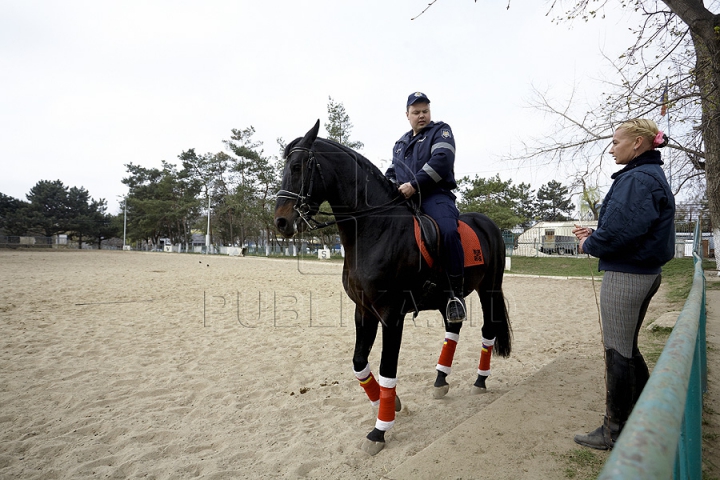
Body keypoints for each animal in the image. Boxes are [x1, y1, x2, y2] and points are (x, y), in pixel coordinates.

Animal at [272, 120, 510, 454]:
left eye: (296, 166)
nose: (281, 222)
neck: (375, 229)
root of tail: (488, 224)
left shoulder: (391, 315)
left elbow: (387, 369)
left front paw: (379, 430)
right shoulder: (364, 311)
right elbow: (359, 363)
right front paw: (390, 403)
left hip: (489, 289)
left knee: (488, 331)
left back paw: (479, 381)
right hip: (448, 299)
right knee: (453, 328)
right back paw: (440, 381)